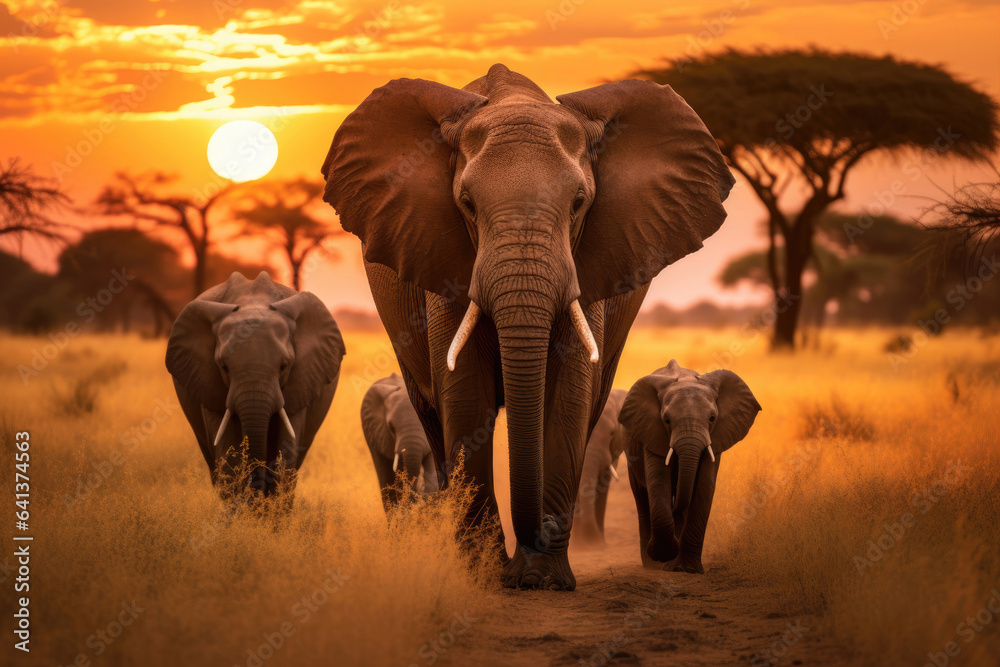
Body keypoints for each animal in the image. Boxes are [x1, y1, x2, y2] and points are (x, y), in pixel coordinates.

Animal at [166, 272, 346, 500]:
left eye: (283, 366)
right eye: (224, 367)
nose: (258, 492)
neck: (252, 302)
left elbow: (286, 450)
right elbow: (227, 451)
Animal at [620, 360, 760, 576]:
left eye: (712, 418)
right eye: (667, 420)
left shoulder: (716, 437)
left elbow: (704, 487)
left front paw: (688, 569)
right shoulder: (653, 433)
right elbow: (659, 483)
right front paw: (664, 556)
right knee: (642, 499)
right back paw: (653, 565)